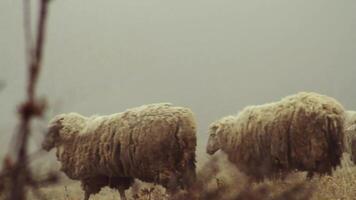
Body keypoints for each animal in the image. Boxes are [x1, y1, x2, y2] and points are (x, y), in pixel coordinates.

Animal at [42, 103, 197, 200]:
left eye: (50, 131)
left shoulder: (91, 175)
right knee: (189, 183)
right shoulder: (117, 173)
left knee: (171, 187)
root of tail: (184, 122)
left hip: (164, 163)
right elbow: (121, 191)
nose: (43, 146)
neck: (74, 135)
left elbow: (87, 194)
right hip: (187, 161)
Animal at [206, 91, 344, 180]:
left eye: (212, 134)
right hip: (330, 150)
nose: (207, 150)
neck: (234, 133)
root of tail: (332, 112)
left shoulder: (263, 164)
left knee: (320, 171)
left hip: (316, 149)